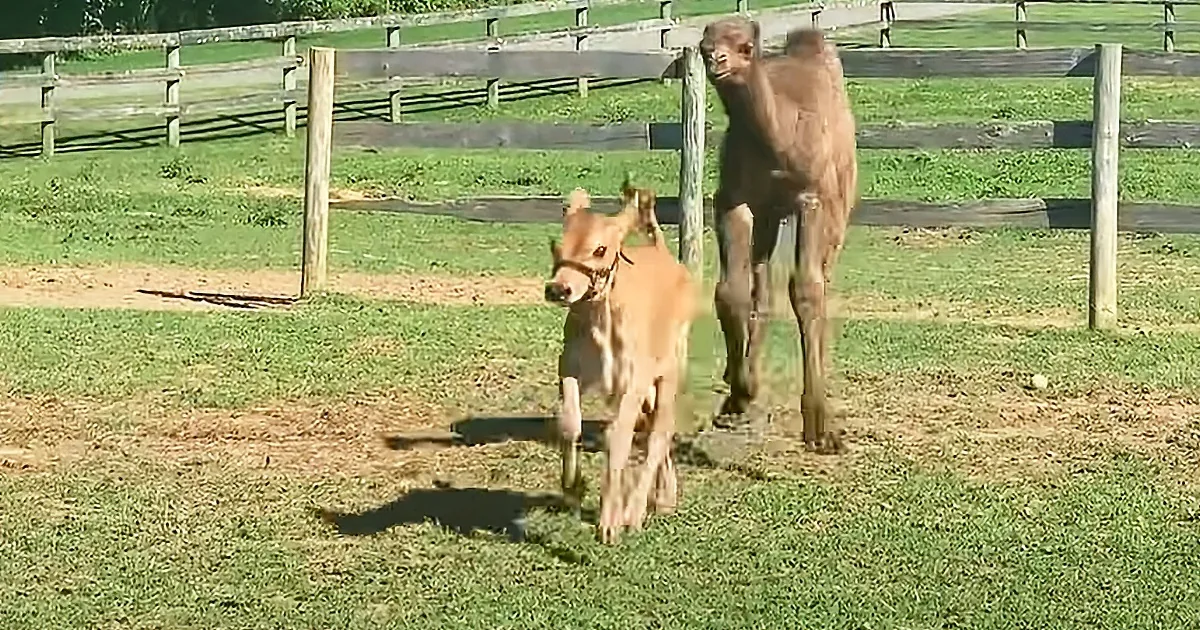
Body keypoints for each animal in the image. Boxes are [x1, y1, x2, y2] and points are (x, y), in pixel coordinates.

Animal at [698, 19, 859, 453]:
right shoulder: (733, 198)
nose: (715, 59)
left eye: (745, 46)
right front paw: (739, 393)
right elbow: (731, 291)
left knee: (821, 280)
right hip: (769, 216)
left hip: (839, 206)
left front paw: (820, 427)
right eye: (704, 44)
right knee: (763, 289)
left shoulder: (812, 197)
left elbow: (805, 290)